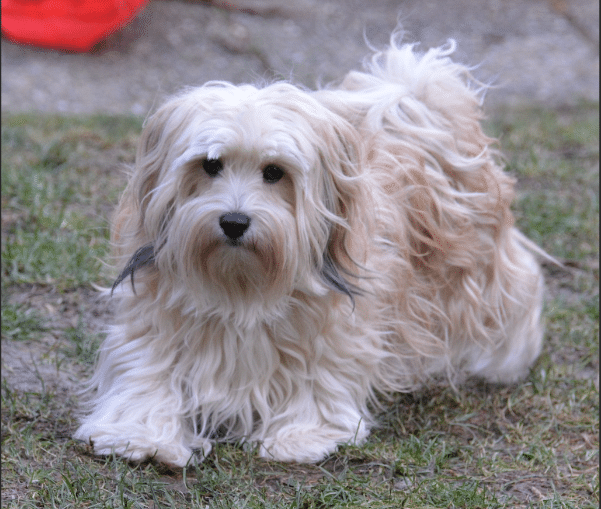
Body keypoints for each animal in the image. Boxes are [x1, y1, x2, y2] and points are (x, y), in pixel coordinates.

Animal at [72, 33, 548, 466]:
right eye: (210, 165)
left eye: (274, 172)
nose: (234, 222)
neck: (241, 287)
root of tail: (416, 98)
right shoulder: (155, 325)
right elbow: (148, 376)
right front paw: (138, 435)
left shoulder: (335, 333)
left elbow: (317, 380)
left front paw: (302, 435)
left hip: (477, 267)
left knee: (517, 285)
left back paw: (503, 360)